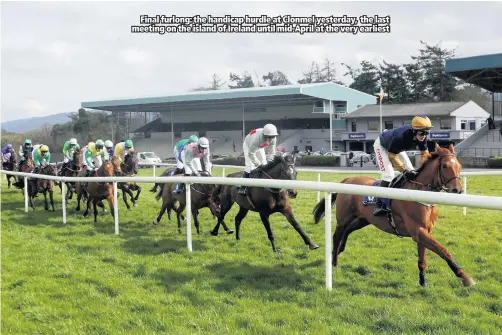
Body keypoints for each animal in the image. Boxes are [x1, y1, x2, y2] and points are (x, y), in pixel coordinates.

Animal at [312, 143, 476, 288]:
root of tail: (347, 180)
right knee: (336, 236)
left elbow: (422, 259)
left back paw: (340, 250)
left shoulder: (424, 231)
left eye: (459, 166)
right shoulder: (418, 231)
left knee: (347, 231)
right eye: (445, 166)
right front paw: (465, 277)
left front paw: (423, 282)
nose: (458, 190)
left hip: (363, 220)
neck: (419, 193)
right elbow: (444, 251)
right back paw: (334, 262)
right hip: (343, 219)